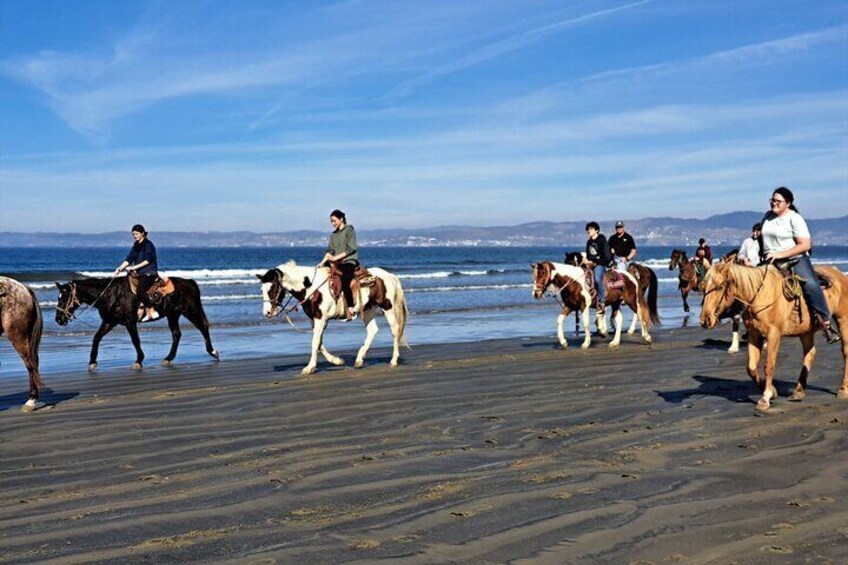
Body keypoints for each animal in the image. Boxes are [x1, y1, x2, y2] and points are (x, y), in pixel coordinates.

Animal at [54, 276, 217, 372]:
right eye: (59, 297)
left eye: (64, 297)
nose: (58, 319)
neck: (111, 294)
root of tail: (190, 282)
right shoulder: (109, 322)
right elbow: (96, 338)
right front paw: (92, 362)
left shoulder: (129, 322)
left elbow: (135, 340)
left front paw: (139, 360)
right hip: (173, 315)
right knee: (176, 334)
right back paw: (168, 358)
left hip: (191, 310)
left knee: (203, 327)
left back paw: (213, 352)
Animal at [256, 262, 410, 374]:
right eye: (262, 290)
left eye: (273, 288)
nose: (267, 313)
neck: (312, 288)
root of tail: (390, 276)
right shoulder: (316, 319)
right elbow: (319, 343)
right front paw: (337, 361)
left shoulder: (320, 318)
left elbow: (315, 342)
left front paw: (309, 368)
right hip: (368, 309)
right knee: (373, 330)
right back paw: (359, 360)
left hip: (387, 306)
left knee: (395, 329)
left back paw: (393, 360)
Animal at [528, 260, 656, 348]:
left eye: (541, 274)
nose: (535, 293)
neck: (575, 282)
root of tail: (630, 275)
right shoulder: (570, 306)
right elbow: (559, 320)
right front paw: (563, 342)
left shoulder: (584, 306)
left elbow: (585, 323)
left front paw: (586, 343)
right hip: (616, 303)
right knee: (619, 319)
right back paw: (614, 342)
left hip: (632, 301)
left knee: (640, 314)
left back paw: (647, 337)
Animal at [704, 260, 848, 410]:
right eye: (702, 286)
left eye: (720, 287)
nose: (705, 319)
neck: (760, 295)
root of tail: (839, 274)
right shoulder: (754, 334)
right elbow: (751, 367)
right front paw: (772, 391)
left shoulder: (774, 334)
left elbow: (769, 366)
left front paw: (765, 398)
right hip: (805, 331)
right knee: (810, 353)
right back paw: (798, 391)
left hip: (842, 319)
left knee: (845, 352)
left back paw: (843, 390)